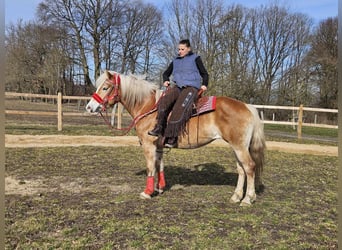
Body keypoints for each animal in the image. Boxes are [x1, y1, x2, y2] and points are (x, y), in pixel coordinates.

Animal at [86, 70, 268, 205]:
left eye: (105, 87)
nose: (89, 107)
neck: (149, 107)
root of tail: (247, 106)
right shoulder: (159, 146)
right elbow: (159, 166)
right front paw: (160, 188)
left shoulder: (149, 146)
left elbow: (150, 168)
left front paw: (147, 192)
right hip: (237, 147)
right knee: (241, 169)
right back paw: (236, 196)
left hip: (239, 147)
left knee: (249, 167)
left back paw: (247, 199)